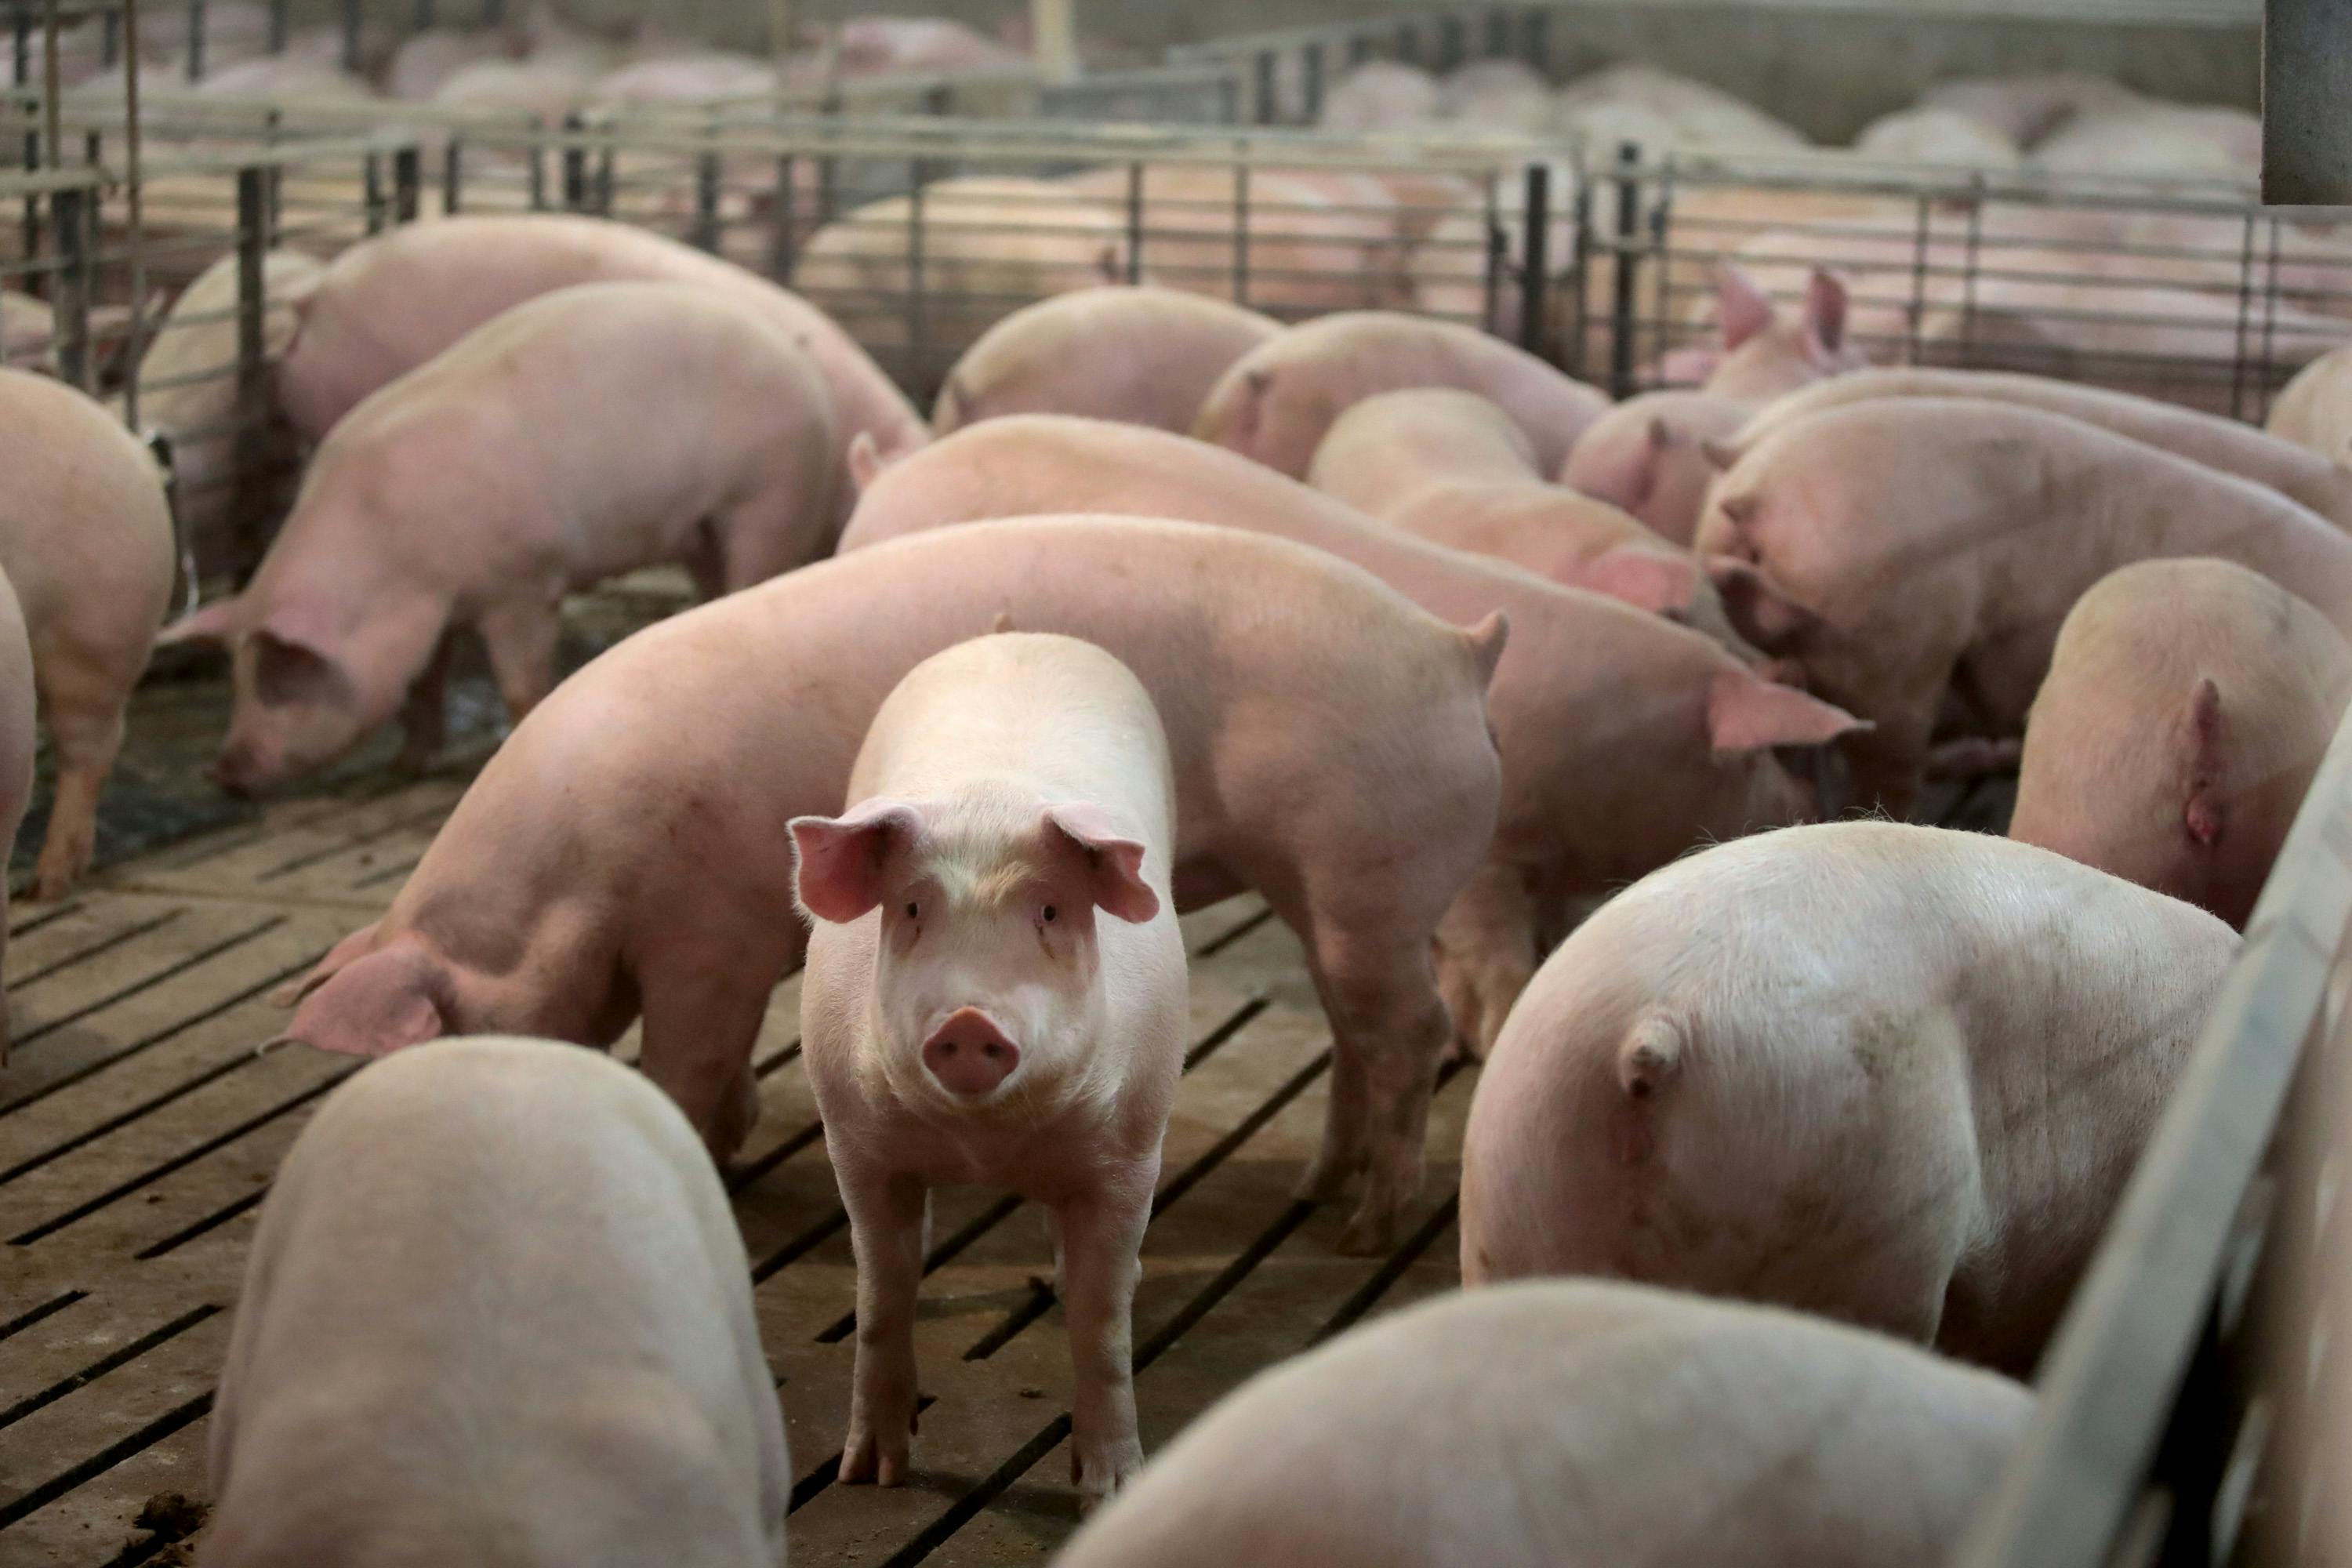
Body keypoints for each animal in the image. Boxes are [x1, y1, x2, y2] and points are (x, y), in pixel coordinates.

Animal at [157, 282, 840, 795]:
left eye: (278, 682)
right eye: (236, 678)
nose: (221, 771)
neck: (389, 556)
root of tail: (804, 370)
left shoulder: (524, 582)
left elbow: (520, 683)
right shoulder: (434, 612)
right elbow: (422, 688)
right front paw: (402, 767)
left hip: (766, 494)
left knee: (758, 569)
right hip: (699, 529)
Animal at [272, 516, 1507, 1255]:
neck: (572, 874)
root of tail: (1457, 650)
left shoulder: (706, 929)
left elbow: (689, 1057)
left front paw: (704, 1148)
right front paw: (736, 1134)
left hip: (1368, 869)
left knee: (1407, 1030)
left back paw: (1365, 1228)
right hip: (1334, 884)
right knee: (1355, 1030)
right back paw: (1316, 1193)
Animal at [794, 633, 1185, 1505]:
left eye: (1049, 910)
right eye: (911, 908)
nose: (969, 1023)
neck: (986, 1147)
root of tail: (1016, 634)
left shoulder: (1133, 1150)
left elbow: (1103, 1320)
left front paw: (1109, 1489)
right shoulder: (854, 1139)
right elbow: (882, 1293)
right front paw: (872, 1476)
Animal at [837, 414, 1868, 1058]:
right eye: (1773, 746)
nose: (1815, 813)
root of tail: (888, 475)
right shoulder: (1491, 859)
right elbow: (1495, 954)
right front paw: (1494, 1030)